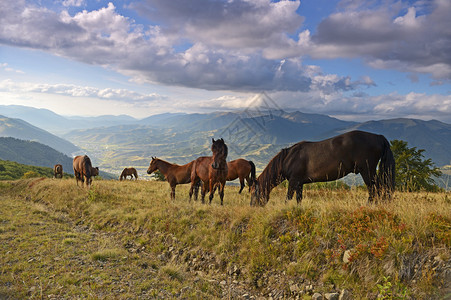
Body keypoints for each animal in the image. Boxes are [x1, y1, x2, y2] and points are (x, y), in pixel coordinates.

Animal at [251, 131, 396, 206]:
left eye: (253, 192)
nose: (252, 206)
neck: (288, 158)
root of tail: (378, 137)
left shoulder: (293, 181)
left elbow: (288, 198)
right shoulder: (299, 183)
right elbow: (298, 199)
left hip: (367, 171)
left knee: (375, 189)